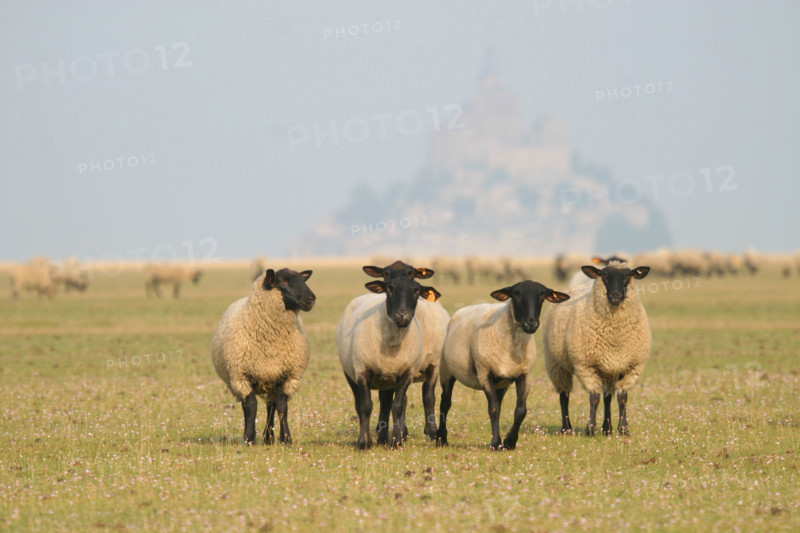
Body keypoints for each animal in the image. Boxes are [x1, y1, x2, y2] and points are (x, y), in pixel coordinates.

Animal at [212, 268, 316, 445]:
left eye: (302, 280)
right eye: (283, 282)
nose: (311, 299)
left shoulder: (288, 376)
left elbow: (282, 407)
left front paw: (286, 438)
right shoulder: (241, 377)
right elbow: (251, 406)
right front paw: (249, 438)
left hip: (272, 380)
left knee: (271, 406)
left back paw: (269, 437)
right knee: (247, 407)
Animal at [337, 265, 440, 449]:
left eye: (416, 291)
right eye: (389, 289)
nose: (402, 314)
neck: (393, 341)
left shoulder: (406, 373)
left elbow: (397, 406)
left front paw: (397, 441)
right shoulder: (362, 370)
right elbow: (366, 406)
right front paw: (364, 442)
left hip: (389, 378)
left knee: (388, 404)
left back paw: (384, 438)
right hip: (350, 373)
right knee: (359, 404)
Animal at [362, 260, 450, 440]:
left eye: (412, 274)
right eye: (386, 274)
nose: (401, 313)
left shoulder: (433, 365)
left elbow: (428, 397)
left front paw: (432, 431)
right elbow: (390, 399)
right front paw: (397, 432)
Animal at [437, 281, 569, 450]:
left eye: (543, 295)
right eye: (516, 294)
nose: (531, 323)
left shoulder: (524, 375)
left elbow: (520, 411)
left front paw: (509, 442)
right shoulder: (485, 373)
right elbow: (493, 409)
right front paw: (496, 443)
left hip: (501, 383)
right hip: (446, 369)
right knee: (445, 402)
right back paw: (441, 438)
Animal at [542, 262, 651, 437]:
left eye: (628, 276)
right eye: (604, 276)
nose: (615, 295)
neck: (615, 336)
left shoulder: (631, 367)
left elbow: (622, 398)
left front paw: (623, 429)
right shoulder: (586, 366)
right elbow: (594, 398)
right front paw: (591, 429)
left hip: (608, 370)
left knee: (607, 397)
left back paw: (607, 429)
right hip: (555, 364)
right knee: (564, 395)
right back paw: (567, 428)